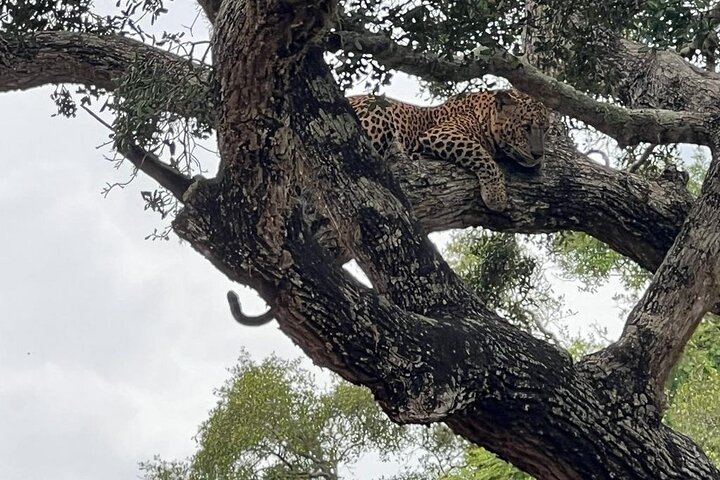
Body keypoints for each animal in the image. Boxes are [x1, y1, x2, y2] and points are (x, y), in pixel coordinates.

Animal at [347, 89, 549, 212]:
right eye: (525, 127)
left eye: (546, 130)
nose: (538, 154)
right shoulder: (441, 133)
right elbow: (481, 154)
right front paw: (496, 196)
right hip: (377, 112)